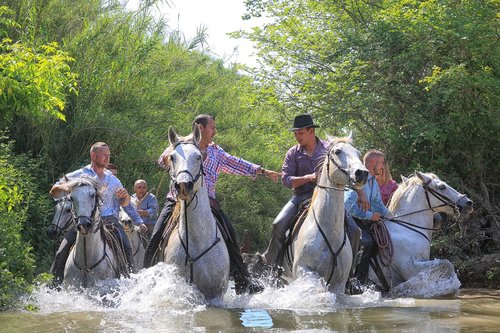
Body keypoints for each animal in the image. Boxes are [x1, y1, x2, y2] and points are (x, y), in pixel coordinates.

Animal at [284, 135, 370, 294]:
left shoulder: (339, 283)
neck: (330, 233)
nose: (362, 173)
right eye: (337, 151)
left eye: (357, 152)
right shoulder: (305, 271)